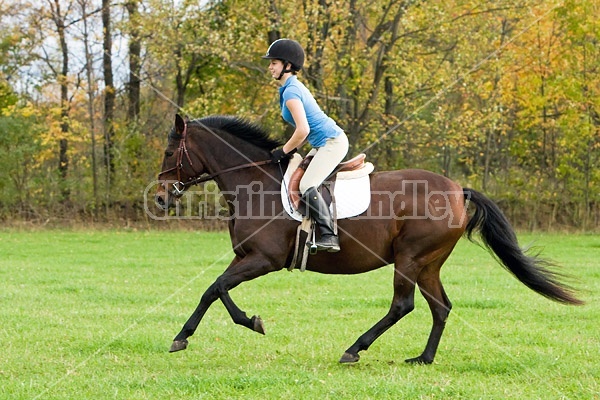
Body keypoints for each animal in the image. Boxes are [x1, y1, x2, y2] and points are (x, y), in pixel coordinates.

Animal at [154, 113, 580, 366]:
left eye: (170, 151)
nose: (159, 197)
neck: (254, 182)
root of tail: (459, 190)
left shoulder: (264, 259)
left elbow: (218, 287)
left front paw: (238, 324)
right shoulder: (245, 256)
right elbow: (214, 290)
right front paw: (191, 335)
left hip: (410, 258)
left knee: (403, 305)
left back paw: (354, 349)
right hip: (428, 263)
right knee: (440, 307)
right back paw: (423, 358)